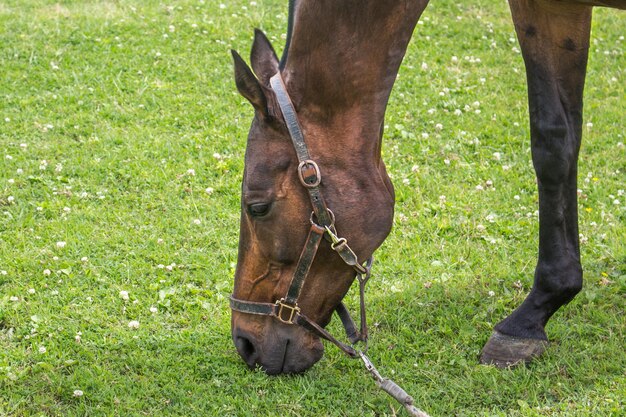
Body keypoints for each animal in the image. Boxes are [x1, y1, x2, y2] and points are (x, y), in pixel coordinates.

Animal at [230, 0, 624, 376]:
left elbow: (550, 148)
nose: (245, 342)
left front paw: (529, 318)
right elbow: (558, 133)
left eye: (257, 207)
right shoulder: (555, 10)